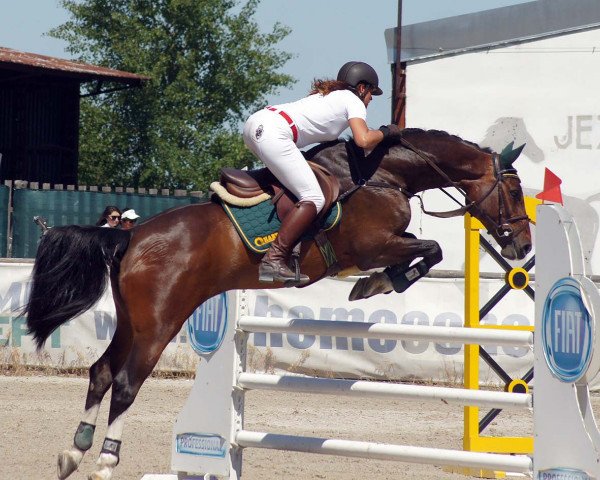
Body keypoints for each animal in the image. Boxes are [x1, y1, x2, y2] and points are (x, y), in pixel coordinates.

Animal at [23, 128, 532, 480]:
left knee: (101, 372)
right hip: (159, 323)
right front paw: (378, 285)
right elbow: (430, 251)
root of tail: (128, 235)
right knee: (126, 382)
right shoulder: (375, 246)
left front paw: (374, 285)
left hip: (132, 321)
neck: (384, 175)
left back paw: (73, 452)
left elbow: (427, 251)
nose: (522, 247)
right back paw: (105, 461)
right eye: (514, 191)